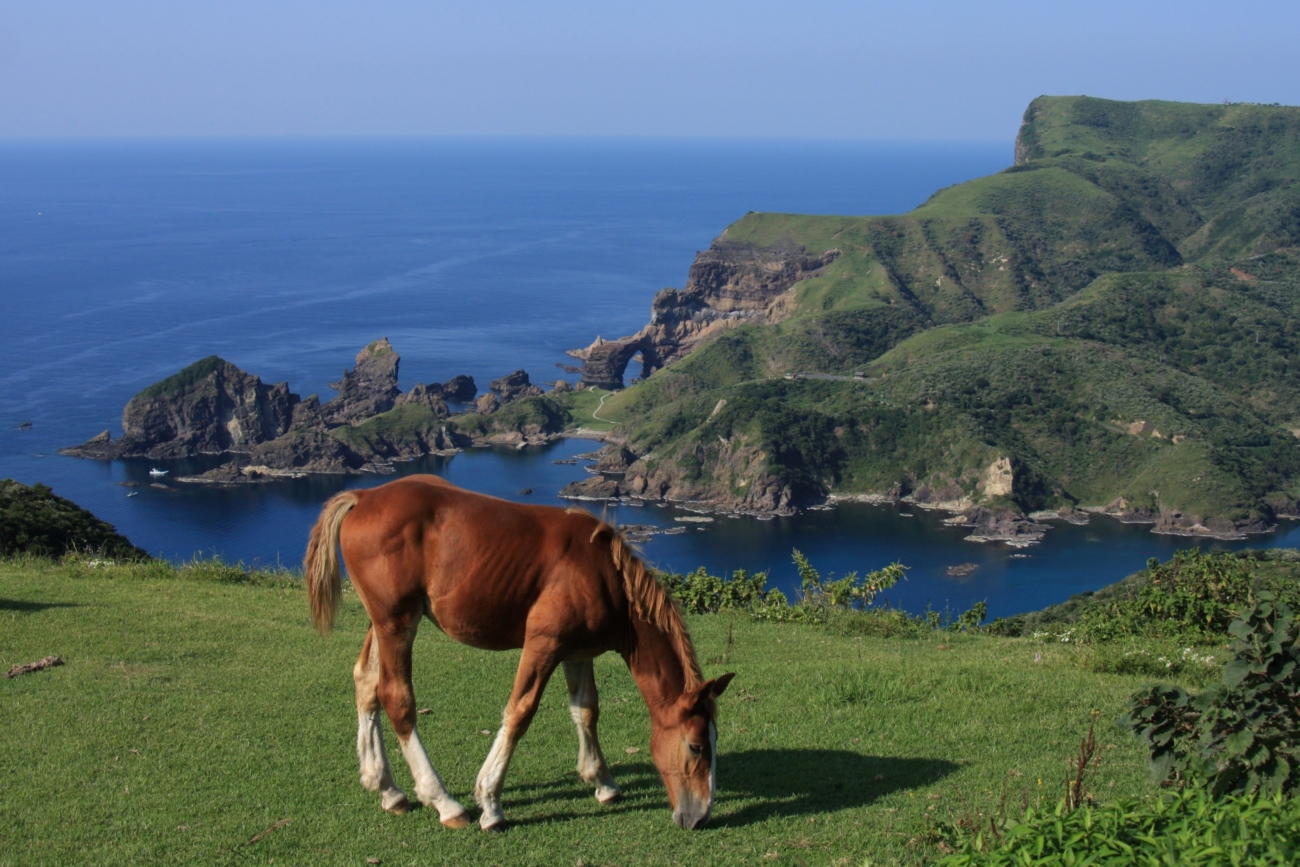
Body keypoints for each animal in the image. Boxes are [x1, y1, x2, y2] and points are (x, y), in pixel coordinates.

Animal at [301, 475, 733, 831]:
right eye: (696, 746)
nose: (700, 817)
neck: (603, 575)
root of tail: (363, 496)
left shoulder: (578, 651)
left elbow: (586, 709)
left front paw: (602, 781)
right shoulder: (544, 643)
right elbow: (520, 712)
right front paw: (490, 802)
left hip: (381, 622)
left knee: (366, 682)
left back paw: (388, 789)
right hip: (397, 621)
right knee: (395, 696)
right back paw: (443, 801)